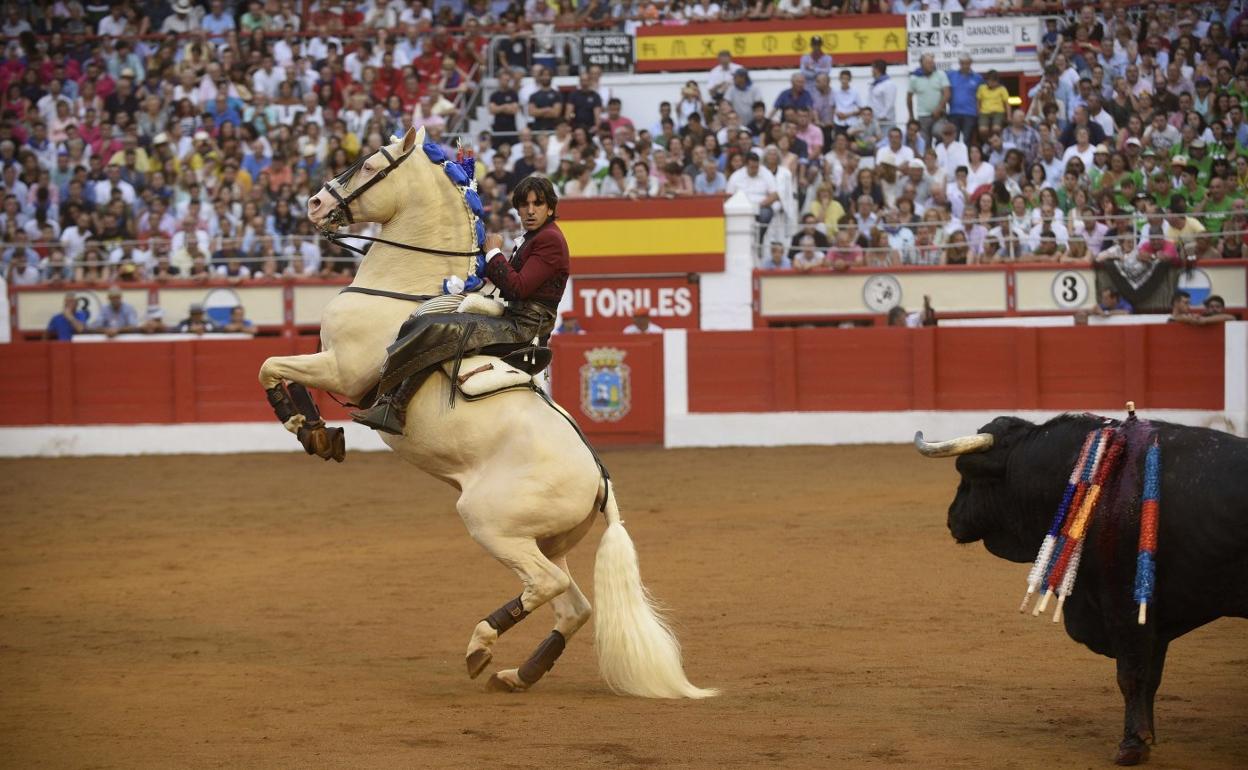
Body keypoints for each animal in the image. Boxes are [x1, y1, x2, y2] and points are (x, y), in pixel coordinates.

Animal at [258, 126, 718, 698]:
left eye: (369, 165)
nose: (315, 203)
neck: (404, 287)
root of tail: (600, 481)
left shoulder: (343, 370)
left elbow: (270, 365)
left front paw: (305, 425)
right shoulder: (332, 366)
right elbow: (281, 368)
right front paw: (317, 432)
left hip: (490, 522)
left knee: (549, 586)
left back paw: (480, 645)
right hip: (541, 540)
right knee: (572, 605)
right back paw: (519, 674)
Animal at [918, 414, 1248, 763]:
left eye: (966, 471)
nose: (951, 517)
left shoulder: (1126, 607)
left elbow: (1132, 675)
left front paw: (1132, 746)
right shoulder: (1152, 618)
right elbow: (1150, 677)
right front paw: (1146, 737)